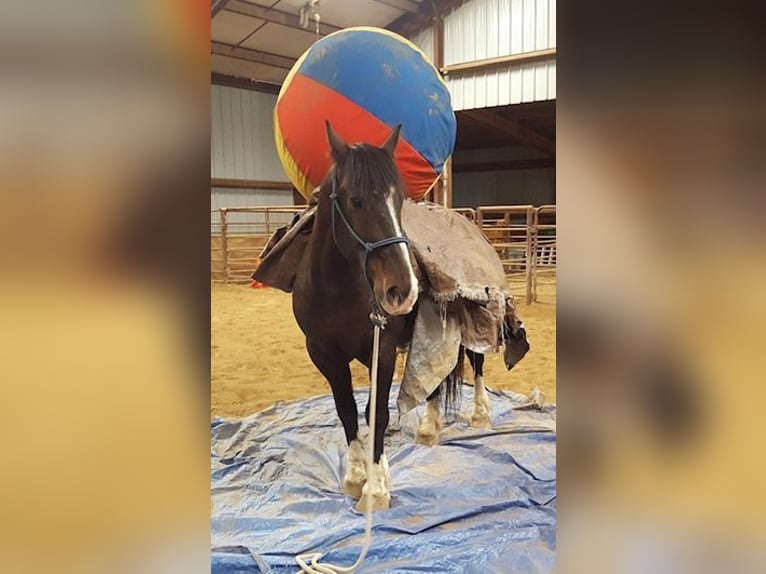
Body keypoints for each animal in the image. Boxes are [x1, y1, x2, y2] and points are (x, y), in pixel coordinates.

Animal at [292, 122, 420, 512]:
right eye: (356, 200)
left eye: (399, 199)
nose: (403, 289)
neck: (338, 291)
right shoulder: (323, 353)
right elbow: (348, 409)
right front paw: (356, 476)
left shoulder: (384, 349)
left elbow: (376, 412)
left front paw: (376, 488)